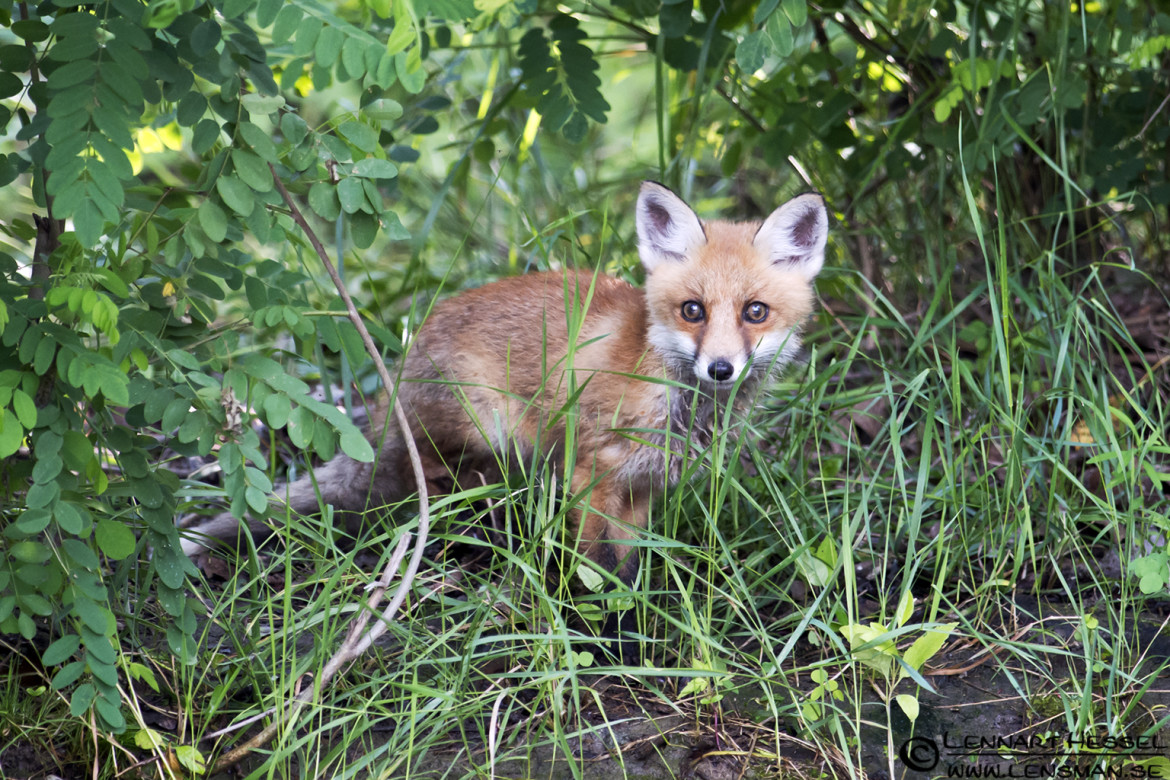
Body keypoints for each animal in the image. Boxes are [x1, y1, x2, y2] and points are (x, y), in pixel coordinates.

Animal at [183, 182, 828, 592]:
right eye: (693, 310)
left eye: (754, 312)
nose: (720, 369)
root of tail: (401, 366)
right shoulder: (591, 472)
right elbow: (598, 564)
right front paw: (608, 630)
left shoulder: (641, 487)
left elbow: (630, 563)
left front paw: (636, 613)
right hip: (483, 440)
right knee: (429, 497)